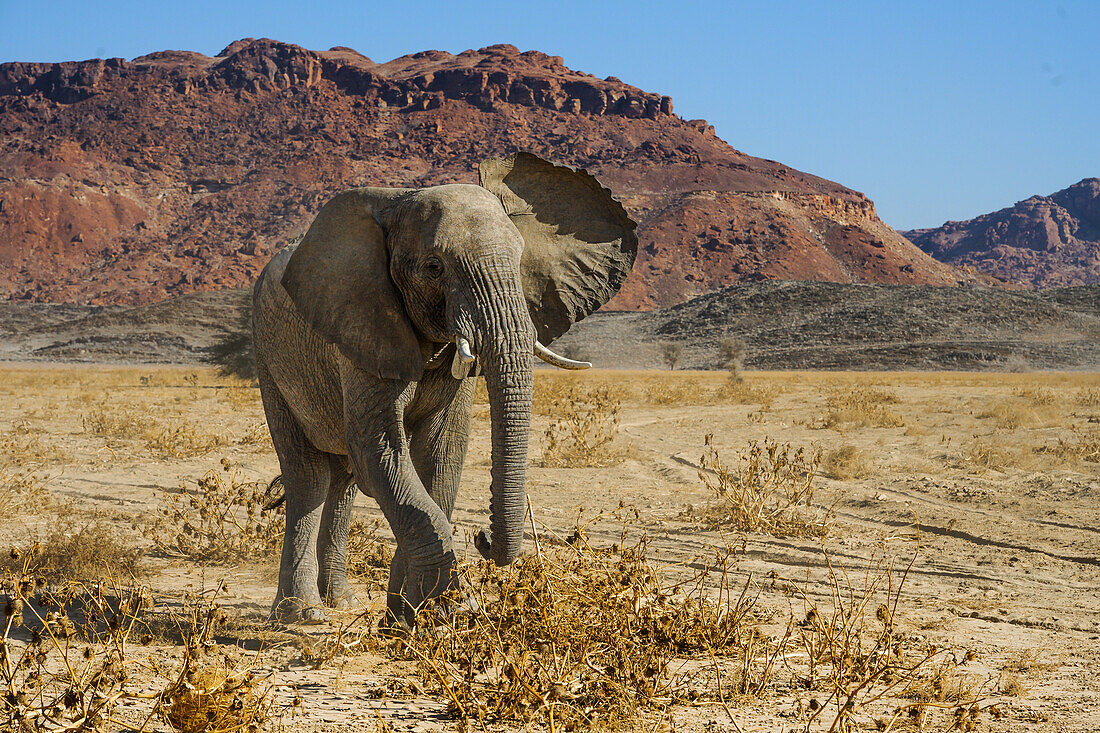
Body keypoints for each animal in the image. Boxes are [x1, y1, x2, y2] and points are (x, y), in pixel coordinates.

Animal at [251, 150, 638, 620]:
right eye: (434, 268)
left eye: (520, 260)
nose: (483, 539)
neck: (397, 203)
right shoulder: (363, 321)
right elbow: (380, 450)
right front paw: (443, 613)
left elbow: (440, 452)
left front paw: (409, 614)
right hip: (268, 355)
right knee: (309, 477)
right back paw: (301, 614)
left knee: (343, 480)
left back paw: (341, 600)